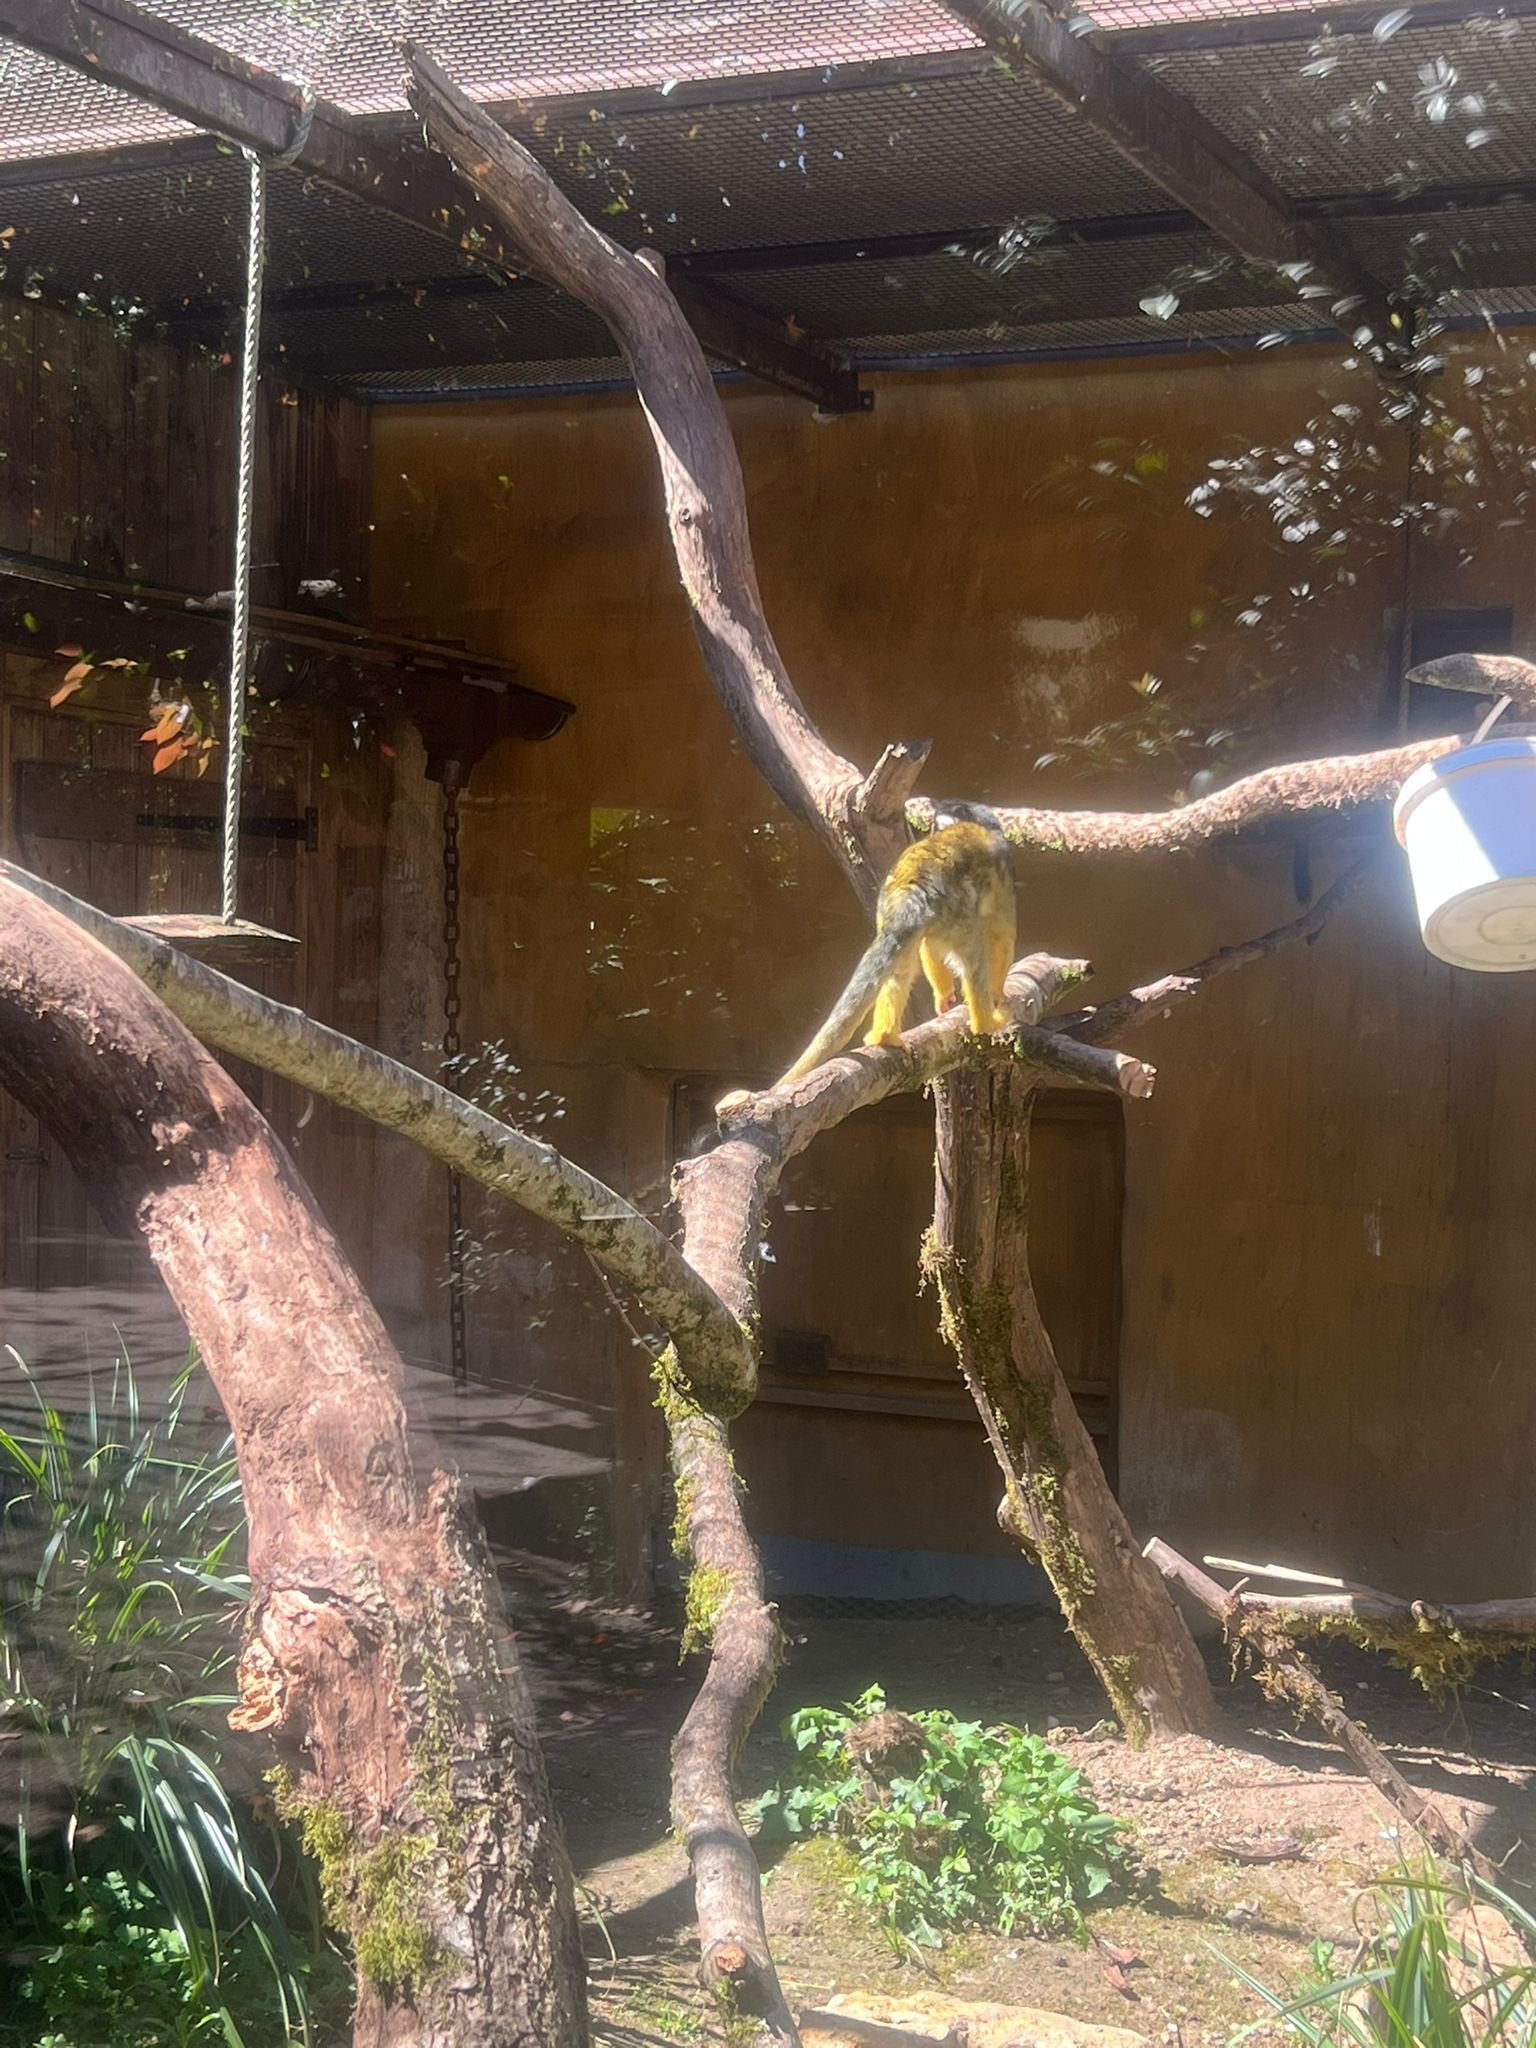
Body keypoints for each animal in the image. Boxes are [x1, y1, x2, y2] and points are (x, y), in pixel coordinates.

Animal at [721, 801, 1016, 1111]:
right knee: (975, 958)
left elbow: (930, 951)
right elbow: (1003, 936)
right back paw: (986, 1021)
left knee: (900, 966)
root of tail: (914, 891)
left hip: (891, 914)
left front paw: (943, 996)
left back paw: (885, 1036)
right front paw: (998, 993)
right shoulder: (1003, 871)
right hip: (956, 912)